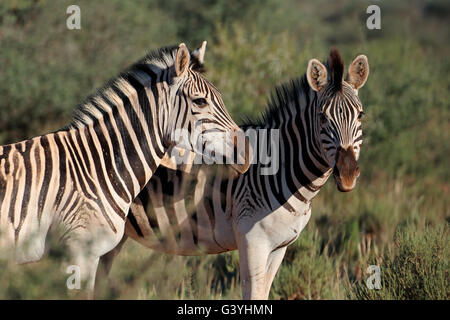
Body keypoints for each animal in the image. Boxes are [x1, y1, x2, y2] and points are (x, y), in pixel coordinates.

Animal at [100, 48, 370, 300]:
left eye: (360, 115)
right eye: (322, 117)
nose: (347, 175)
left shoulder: (279, 247)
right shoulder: (252, 241)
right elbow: (253, 294)